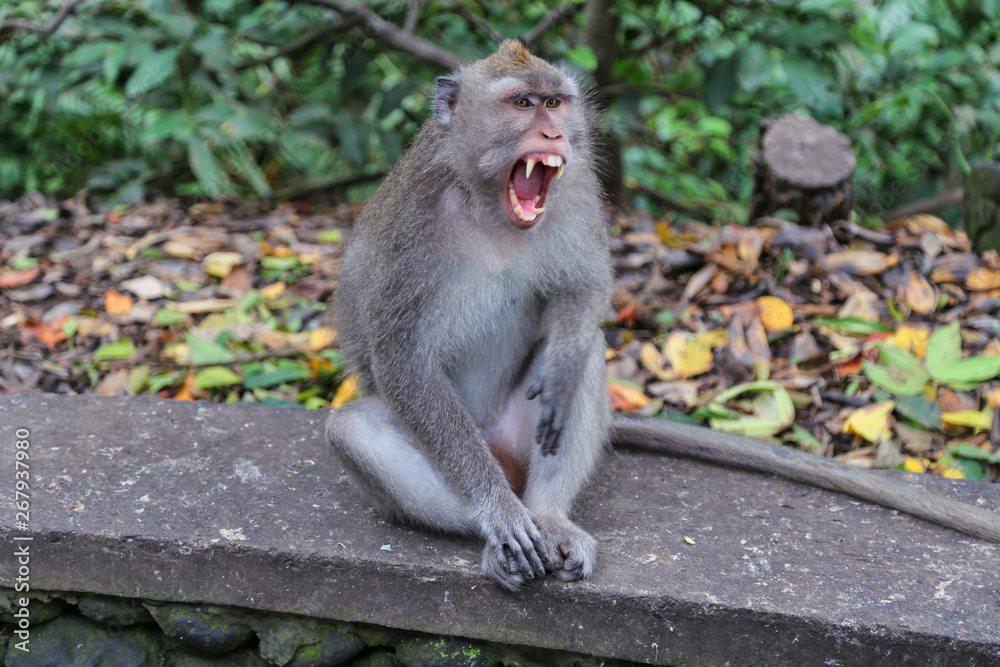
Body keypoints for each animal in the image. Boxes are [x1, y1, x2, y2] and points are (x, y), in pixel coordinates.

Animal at [326, 40, 1000, 593]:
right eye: (522, 104)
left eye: (554, 102)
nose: (554, 137)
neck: (490, 204)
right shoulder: (413, 224)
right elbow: (403, 360)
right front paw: (498, 514)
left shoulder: (577, 191)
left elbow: (584, 290)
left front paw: (563, 363)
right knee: (352, 430)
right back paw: (504, 532)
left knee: (582, 365)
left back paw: (550, 515)